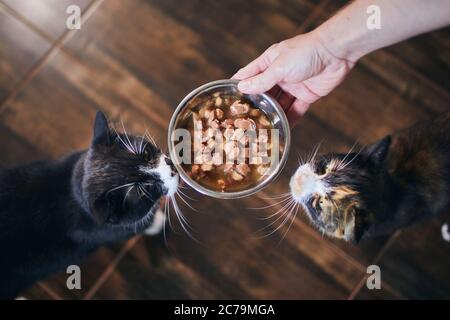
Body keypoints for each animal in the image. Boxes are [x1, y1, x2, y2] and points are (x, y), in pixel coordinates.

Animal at [0, 111, 178, 298]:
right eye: (145, 190)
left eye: (146, 155)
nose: (173, 169)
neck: (71, 190)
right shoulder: (117, 229)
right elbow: (143, 223)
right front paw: (159, 221)